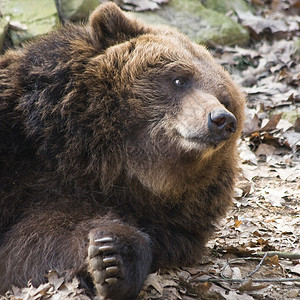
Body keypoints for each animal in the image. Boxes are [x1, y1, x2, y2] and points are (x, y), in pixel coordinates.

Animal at [0, 2, 245, 300]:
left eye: (225, 98)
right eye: (179, 79)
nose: (222, 119)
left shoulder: (156, 218)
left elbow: (35, 244)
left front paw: (112, 258)